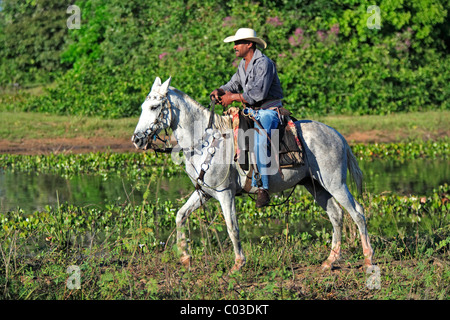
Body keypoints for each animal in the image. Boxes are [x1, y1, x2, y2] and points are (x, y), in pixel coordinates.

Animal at [132, 76, 374, 272]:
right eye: (143, 106)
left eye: (154, 106)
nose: (137, 139)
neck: (205, 141)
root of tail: (337, 135)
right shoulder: (205, 193)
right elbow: (180, 215)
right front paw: (184, 258)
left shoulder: (225, 193)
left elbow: (232, 227)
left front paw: (238, 264)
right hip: (315, 185)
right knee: (336, 214)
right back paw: (330, 261)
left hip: (336, 183)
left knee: (357, 212)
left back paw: (368, 259)